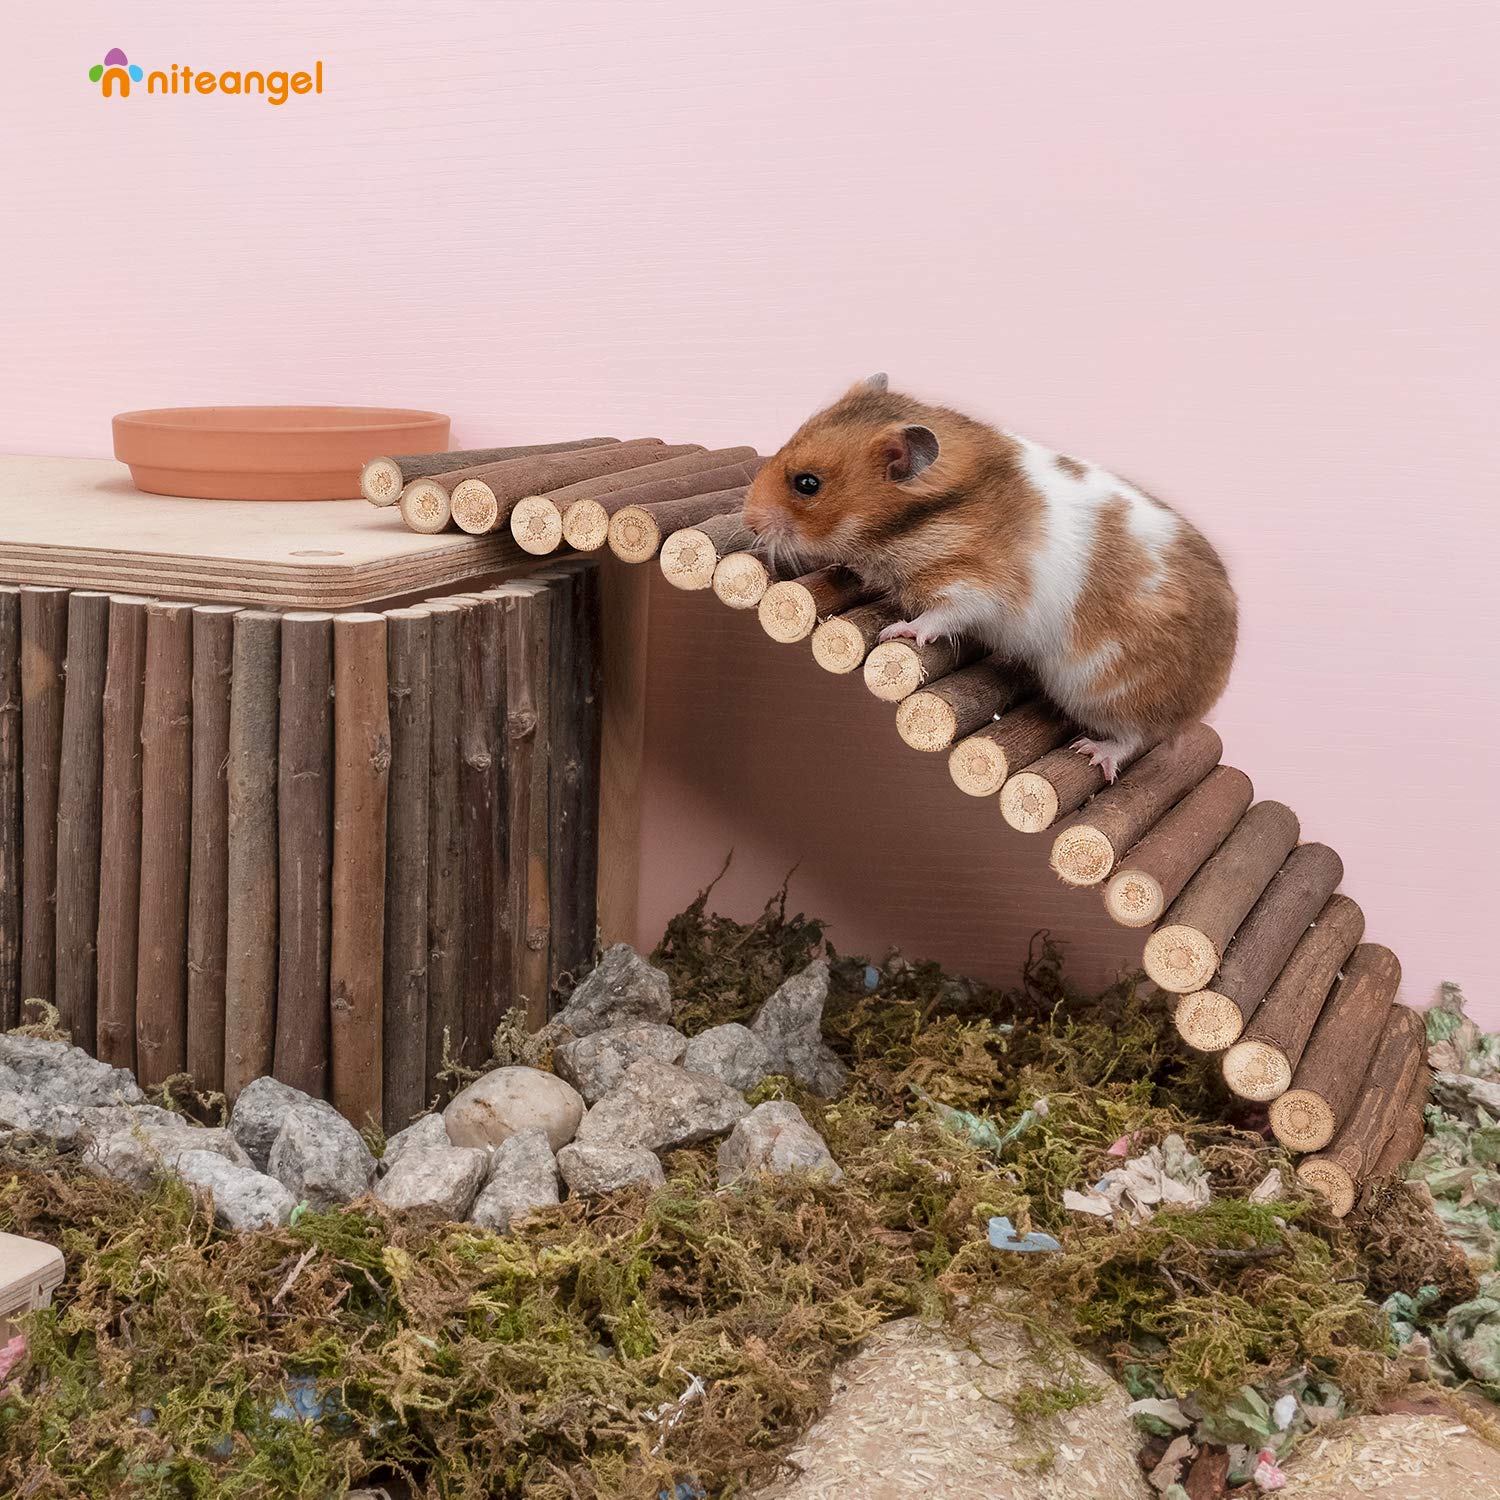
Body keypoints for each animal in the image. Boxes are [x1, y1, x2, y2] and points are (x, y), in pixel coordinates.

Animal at [743, 374, 1237, 781]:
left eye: (807, 484)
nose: (748, 521)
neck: (915, 523)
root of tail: (1207, 694)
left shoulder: (975, 587)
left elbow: (939, 617)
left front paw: (896, 631)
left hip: (1103, 689)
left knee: (1136, 736)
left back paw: (1093, 752)